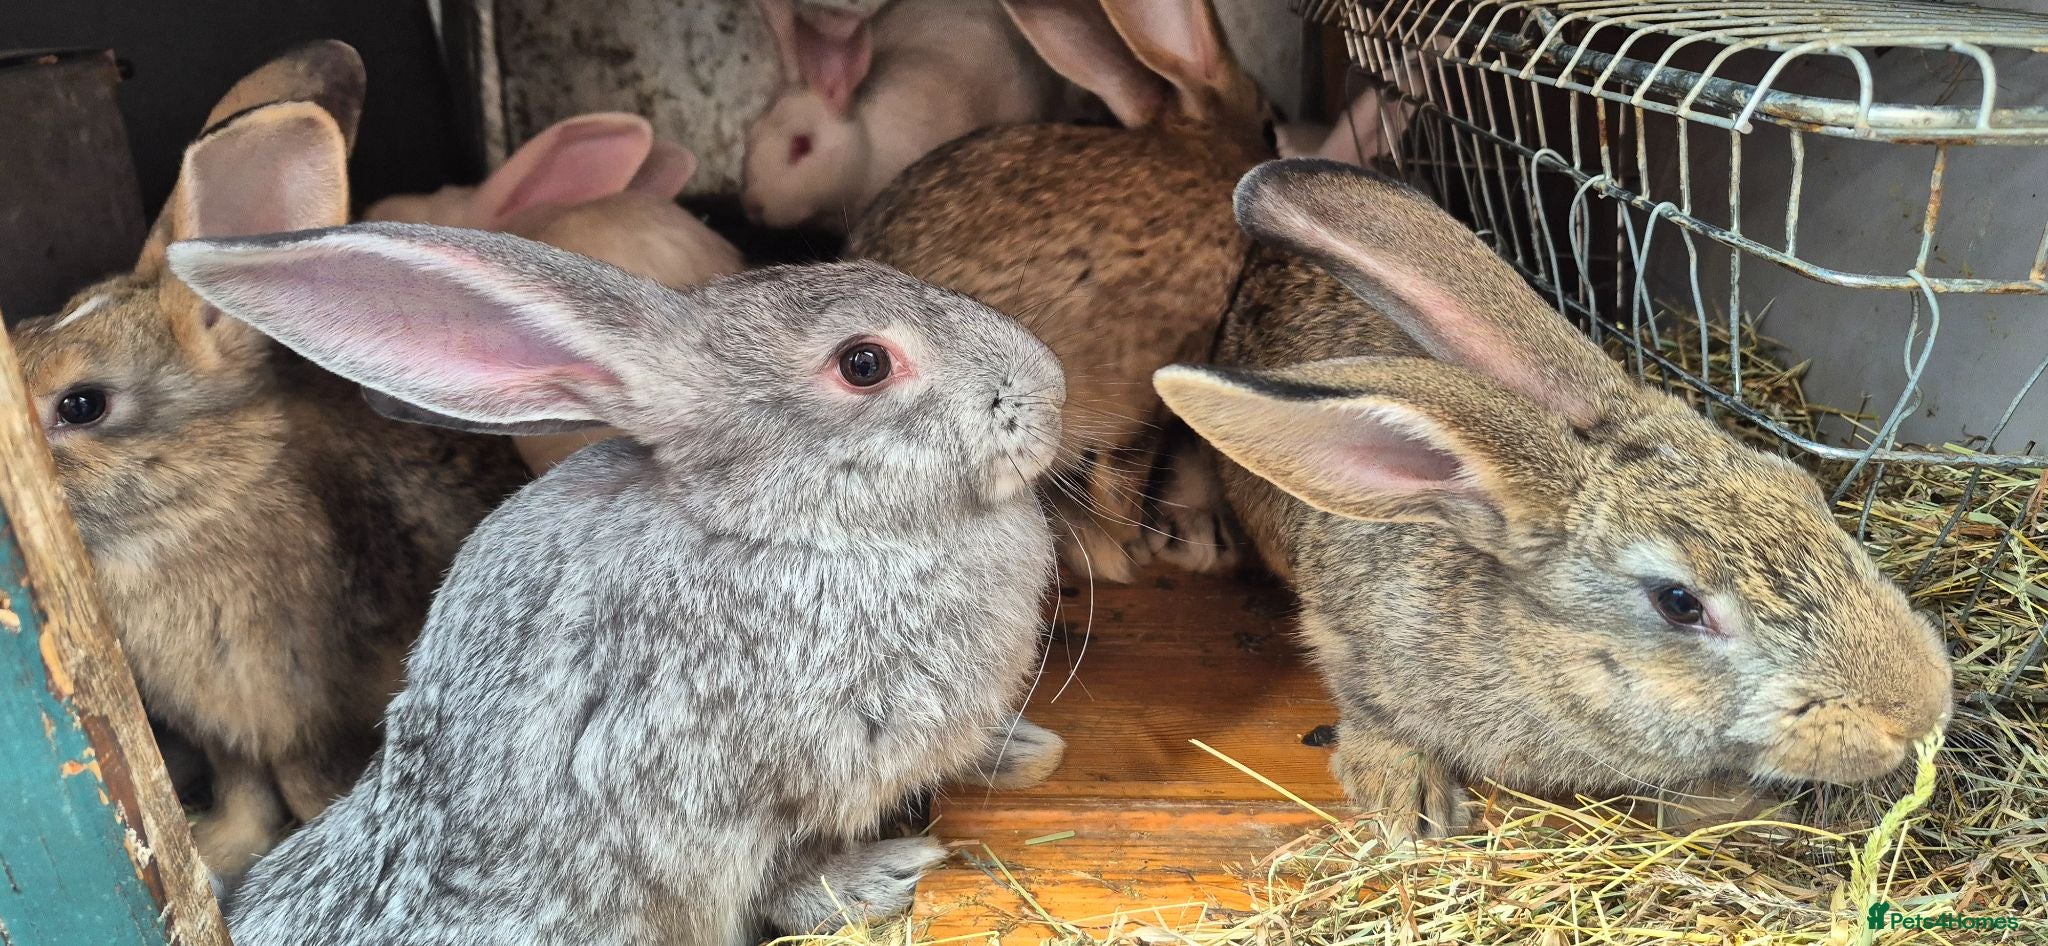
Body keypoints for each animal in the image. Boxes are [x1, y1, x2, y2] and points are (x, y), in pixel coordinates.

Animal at [7, 45, 529, 881]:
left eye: (82, 405)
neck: (200, 500)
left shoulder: (309, 722)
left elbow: (310, 790)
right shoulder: (231, 741)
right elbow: (246, 799)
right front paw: (217, 852)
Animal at [165, 223, 1070, 946]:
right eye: (864, 363)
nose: (1050, 391)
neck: (781, 525)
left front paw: (1025, 749)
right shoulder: (727, 797)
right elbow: (779, 882)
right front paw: (891, 875)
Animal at [1151, 158, 1955, 844]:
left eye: (1804, 491)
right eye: (1678, 602)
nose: (1917, 709)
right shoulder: (1344, 633)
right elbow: (1368, 708)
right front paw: (1409, 801)